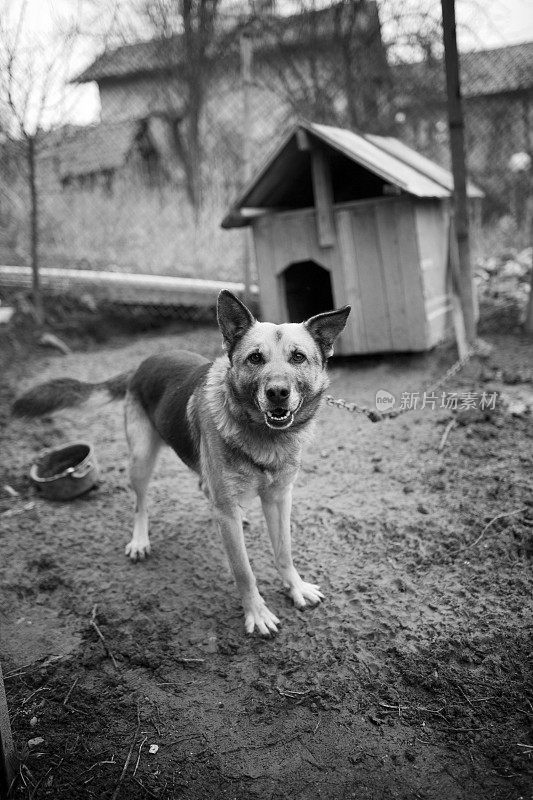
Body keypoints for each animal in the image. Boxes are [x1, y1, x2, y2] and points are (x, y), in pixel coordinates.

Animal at [12, 290, 350, 636]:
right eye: (255, 358)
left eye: (298, 357)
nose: (278, 393)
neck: (264, 436)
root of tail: (143, 363)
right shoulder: (230, 511)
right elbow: (243, 571)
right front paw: (256, 613)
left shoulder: (280, 499)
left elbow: (284, 552)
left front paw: (296, 587)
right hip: (141, 460)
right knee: (140, 503)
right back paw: (140, 540)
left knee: (204, 488)